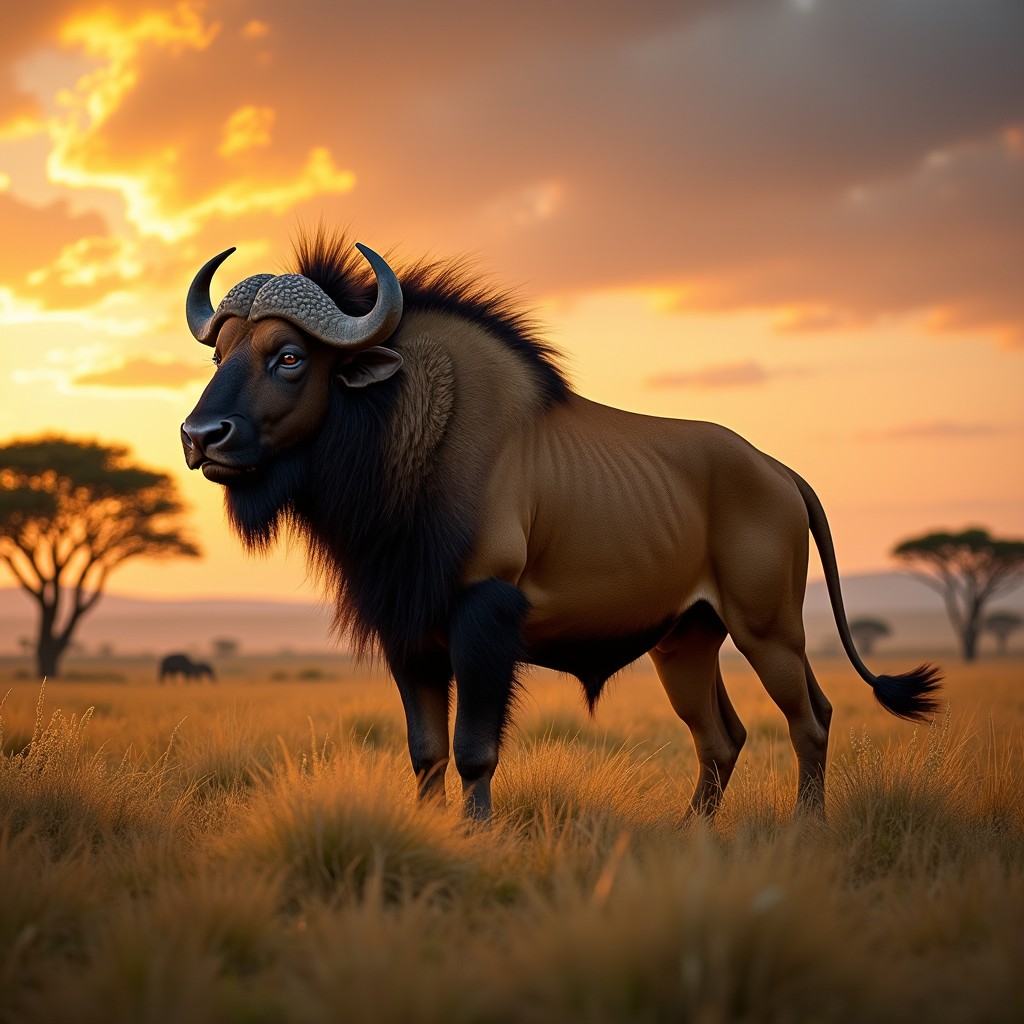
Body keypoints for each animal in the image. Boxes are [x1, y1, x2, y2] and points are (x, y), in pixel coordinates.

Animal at [181, 230, 940, 818]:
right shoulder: (409, 629)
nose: (199, 436)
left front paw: (475, 837)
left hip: (770, 631)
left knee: (810, 720)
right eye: (220, 354)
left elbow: (474, 751)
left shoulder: (483, 616)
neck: (409, 432)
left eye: (288, 356)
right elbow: (426, 752)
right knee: (722, 738)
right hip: (686, 642)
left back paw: (806, 829)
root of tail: (780, 472)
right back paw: (691, 835)